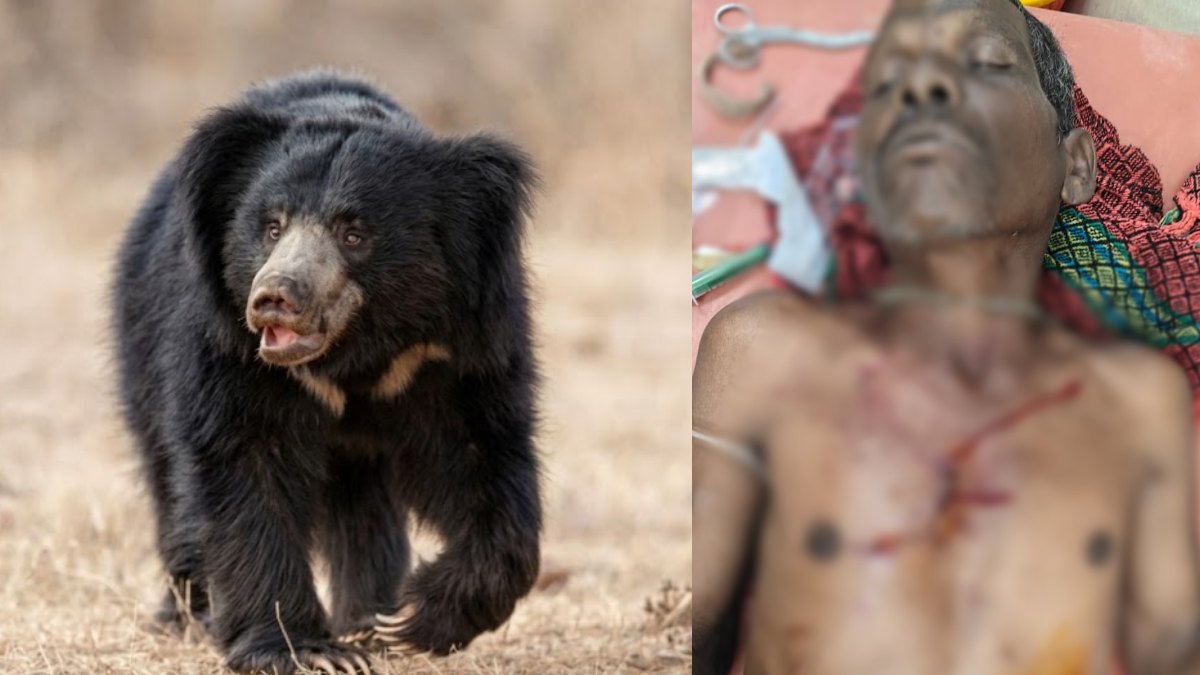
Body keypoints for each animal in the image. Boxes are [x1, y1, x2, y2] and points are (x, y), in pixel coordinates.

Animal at [112, 71, 542, 674]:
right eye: (271, 227)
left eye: (353, 233)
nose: (274, 299)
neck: (353, 353)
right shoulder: (226, 348)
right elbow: (246, 468)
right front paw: (307, 651)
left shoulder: (455, 347)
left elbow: (483, 455)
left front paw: (408, 620)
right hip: (142, 344)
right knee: (168, 481)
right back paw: (190, 613)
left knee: (364, 509)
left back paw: (367, 616)